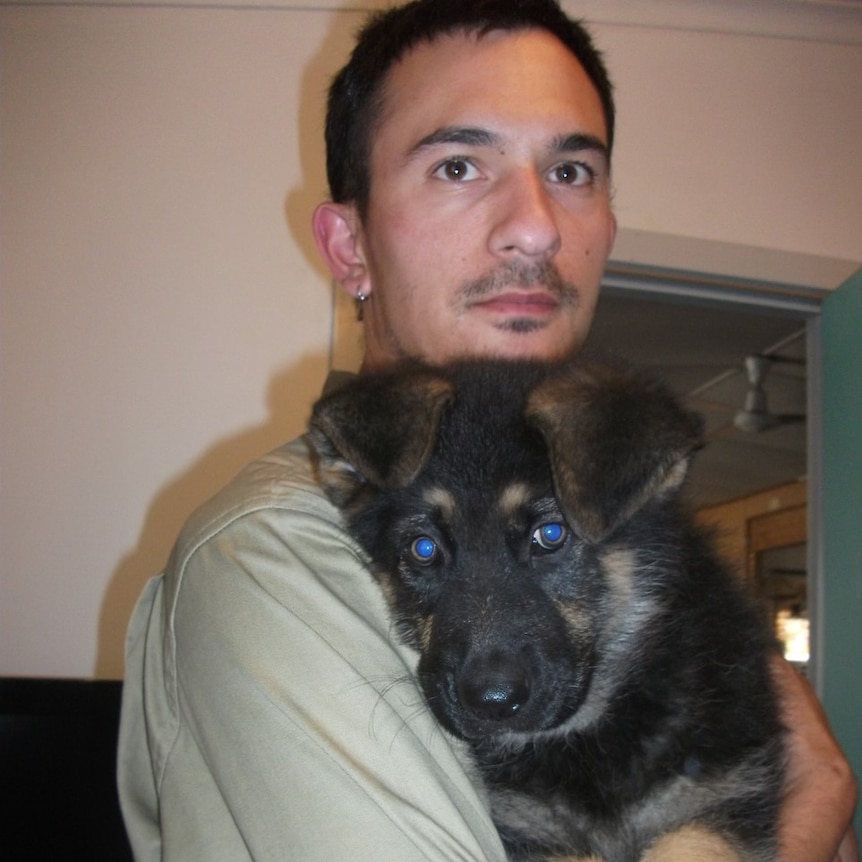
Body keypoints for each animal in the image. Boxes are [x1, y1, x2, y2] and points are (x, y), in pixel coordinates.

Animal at [308, 360, 788, 862]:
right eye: (424, 548)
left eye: (551, 534)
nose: (494, 702)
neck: (596, 730)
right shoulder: (534, 833)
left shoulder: (716, 802)